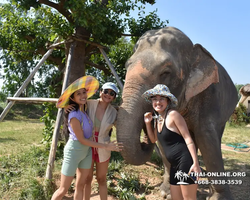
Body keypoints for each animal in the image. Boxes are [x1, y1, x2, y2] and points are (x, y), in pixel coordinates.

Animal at [116, 27, 237, 200]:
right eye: (126, 66)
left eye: (166, 72)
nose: (148, 115)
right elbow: (163, 144)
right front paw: (166, 193)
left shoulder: (209, 97)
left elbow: (207, 140)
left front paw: (218, 198)